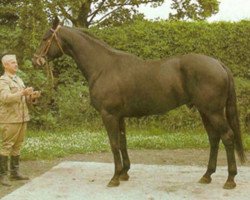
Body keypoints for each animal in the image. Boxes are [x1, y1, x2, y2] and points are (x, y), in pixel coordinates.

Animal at [32, 17, 245, 189]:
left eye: (45, 38)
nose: (36, 61)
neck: (103, 67)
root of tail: (219, 64)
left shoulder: (108, 115)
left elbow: (114, 144)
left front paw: (114, 178)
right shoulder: (119, 116)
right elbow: (123, 142)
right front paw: (124, 173)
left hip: (213, 112)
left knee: (227, 136)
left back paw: (230, 180)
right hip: (205, 112)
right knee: (214, 139)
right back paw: (207, 175)